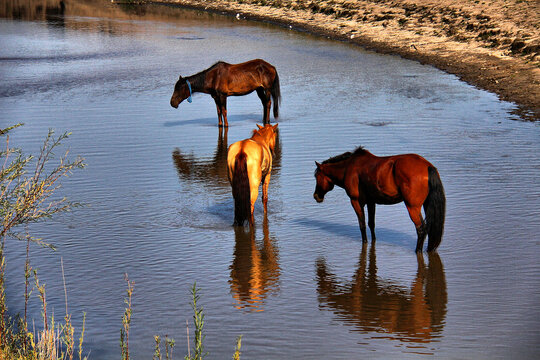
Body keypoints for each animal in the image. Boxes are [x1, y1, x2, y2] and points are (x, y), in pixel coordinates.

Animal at [314, 146, 446, 250]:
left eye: (316, 176)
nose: (316, 196)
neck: (348, 167)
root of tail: (428, 166)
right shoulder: (371, 202)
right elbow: (371, 223)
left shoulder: (355, 201)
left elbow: (362, 225)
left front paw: (365, 242)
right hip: (424, 205)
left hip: (412, 207)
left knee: (421, 229)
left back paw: (417, 251)